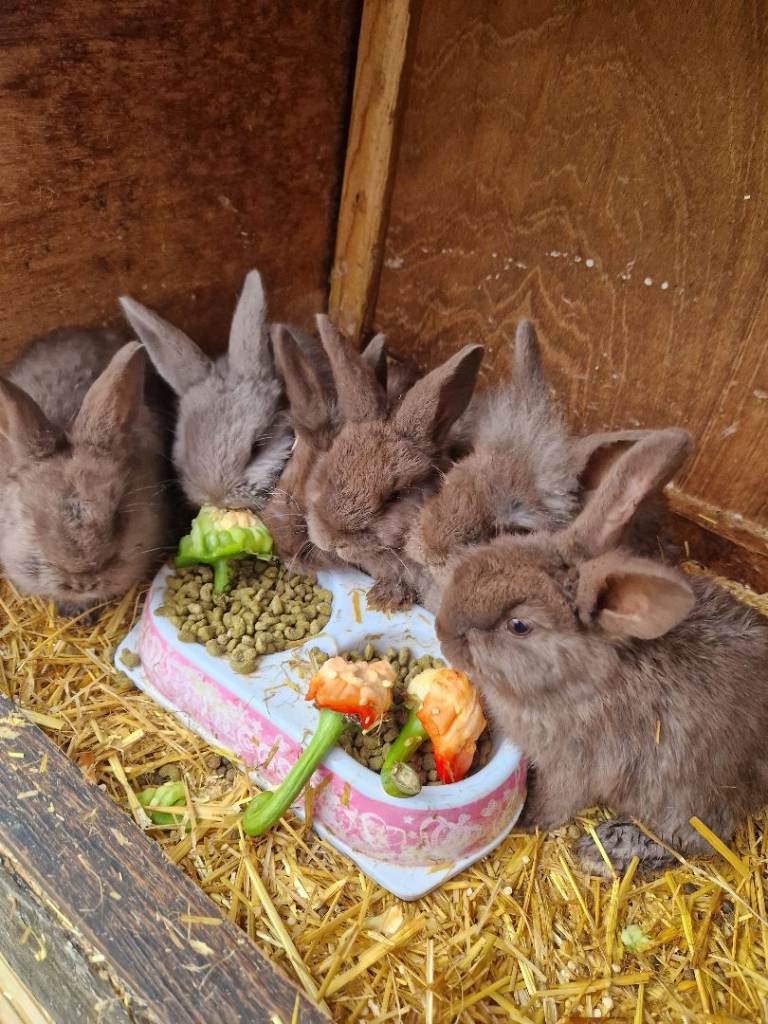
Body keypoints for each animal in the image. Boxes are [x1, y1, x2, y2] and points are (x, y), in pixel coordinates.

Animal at [435, 427, 768, 876]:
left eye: (518, 626)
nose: (442, 631)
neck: (583, 679)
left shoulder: (572, 766)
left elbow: (557, 800)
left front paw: (529, 818)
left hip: (687, 798)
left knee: (695, 840)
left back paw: (603, 849)